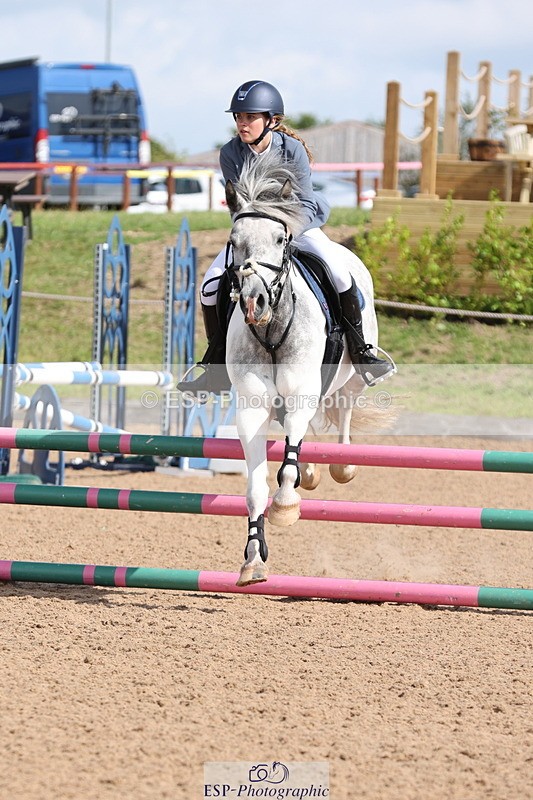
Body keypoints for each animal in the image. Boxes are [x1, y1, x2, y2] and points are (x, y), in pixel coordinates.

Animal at [222, 151, 394, 586]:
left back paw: (342, 465)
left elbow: (284, 473)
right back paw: (312, 470)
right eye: (234, 241)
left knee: (343, 408)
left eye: (280, 240)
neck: (273, 325)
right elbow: (255, 488)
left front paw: (286, 505)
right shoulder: (252, 407)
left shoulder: (301, 390)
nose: (254, 303)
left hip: (350, 375)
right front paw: (253, 559)